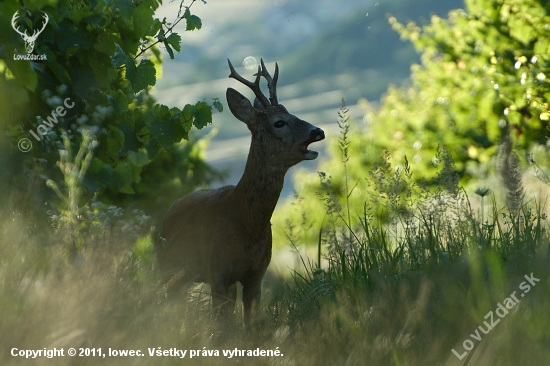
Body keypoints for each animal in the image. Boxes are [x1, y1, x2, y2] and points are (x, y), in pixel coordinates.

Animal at [157, 58, 326, 328]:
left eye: (291, 113)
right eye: (279, 122)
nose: (317, 131)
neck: (246, 225)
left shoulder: (256, 274)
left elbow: (249, 326)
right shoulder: (218, 272)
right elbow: (223, 328)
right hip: (167, 266)